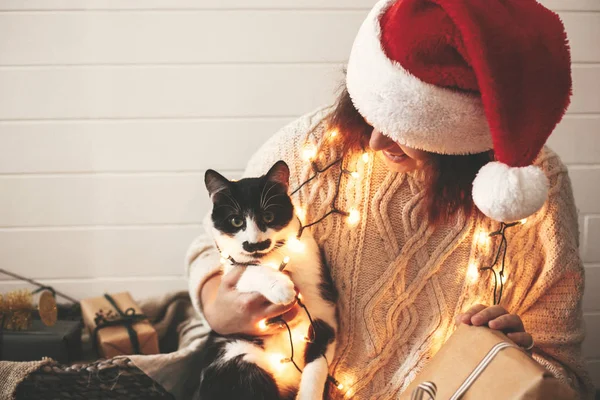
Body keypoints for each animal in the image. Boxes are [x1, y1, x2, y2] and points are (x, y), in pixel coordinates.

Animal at [196, 160, 340, 400]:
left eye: (268, 217)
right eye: (236, 221)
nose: (254, 244)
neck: (274, 258)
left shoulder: (324, 310)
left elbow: (317, 362)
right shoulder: (232, 270)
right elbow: (247, 270)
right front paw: (281, 286)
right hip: (239, 356)